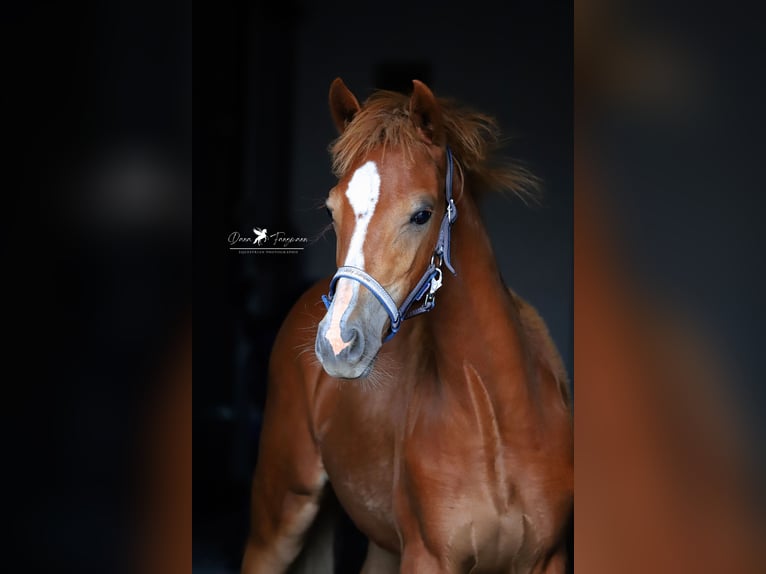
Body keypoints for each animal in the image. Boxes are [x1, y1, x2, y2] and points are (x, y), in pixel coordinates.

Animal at [243, 79, 572, 572]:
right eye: (330, 212)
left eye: (422, 213)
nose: (337, 343)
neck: (494, 420)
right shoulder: (426, 556)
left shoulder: (547, 557)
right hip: (280, 510)